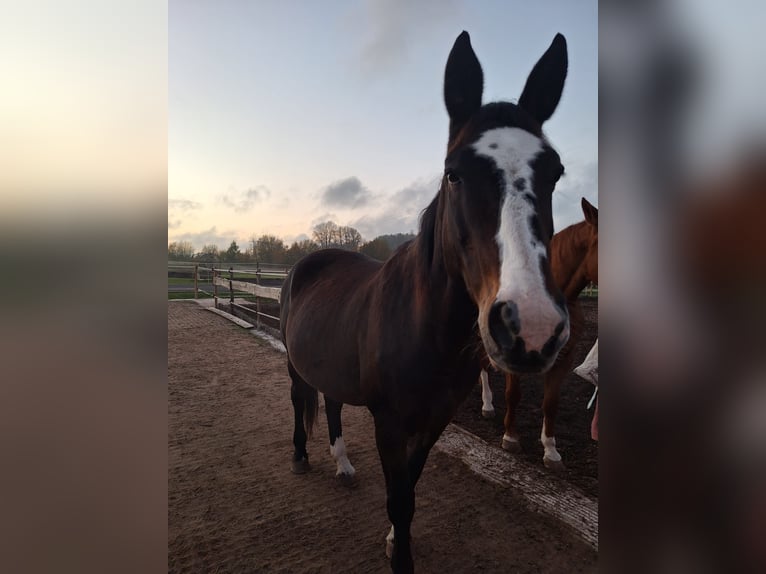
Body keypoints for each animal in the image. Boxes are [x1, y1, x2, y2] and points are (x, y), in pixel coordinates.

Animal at [282, 32, 568, 574]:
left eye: (556, 173)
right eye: (453, 173)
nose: (531, 327)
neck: (422, 328)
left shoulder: (434, 421)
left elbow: (409, 492)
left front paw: (397, 540)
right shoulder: (390, 423)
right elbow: (399, 498)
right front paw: (400, 554)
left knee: (331, 401)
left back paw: (343, 464)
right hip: (294, 364)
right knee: (298, 399)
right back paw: (302, 458)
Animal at [480, 198, 600, 472]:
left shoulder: (564, 360)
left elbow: (551, 403)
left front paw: (550, 450)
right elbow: (513, 395)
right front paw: (510, 437)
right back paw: (487, 404)